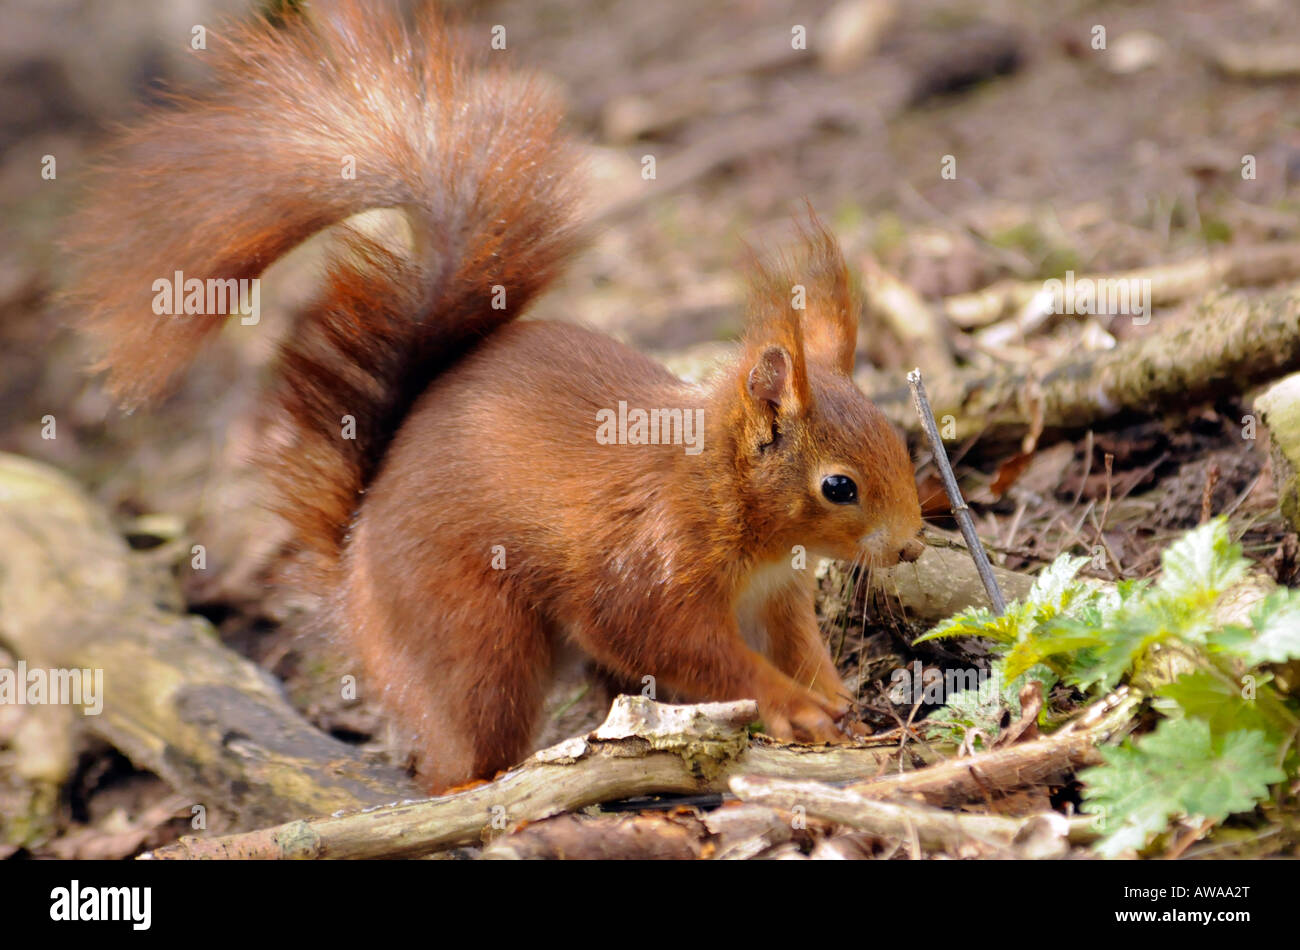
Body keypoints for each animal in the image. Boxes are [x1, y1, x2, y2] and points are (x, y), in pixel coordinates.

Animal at [64, 0, 925, 793]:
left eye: (899, 440)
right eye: (838, 487)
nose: (914, 545)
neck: (727, 491)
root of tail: (352, 569)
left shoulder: (778, 596)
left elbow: (800, 645)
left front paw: (839, 703)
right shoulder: (651, 564)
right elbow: (679, 645)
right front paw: (795, 708)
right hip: (477, 638)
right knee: (465, 744)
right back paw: (475, 787)